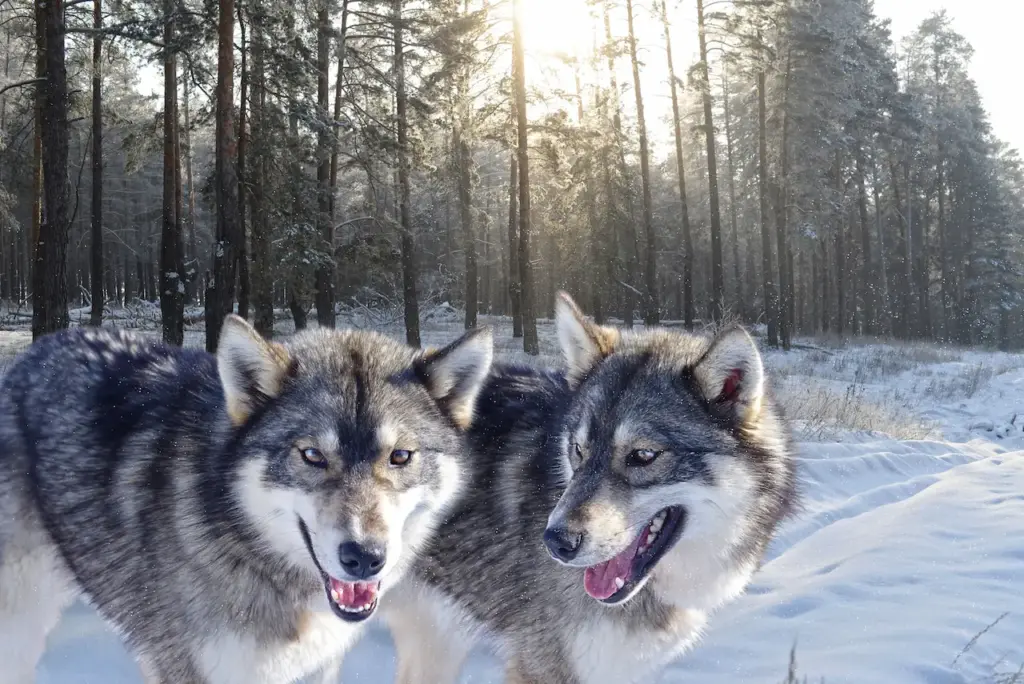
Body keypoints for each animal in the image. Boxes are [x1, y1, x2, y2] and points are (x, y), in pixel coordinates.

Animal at [0, 315, 491, 684]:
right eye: (312, 455)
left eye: (400, 456)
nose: (365, 558)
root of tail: (35, 349)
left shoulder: (314, 669)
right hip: (21, 621)